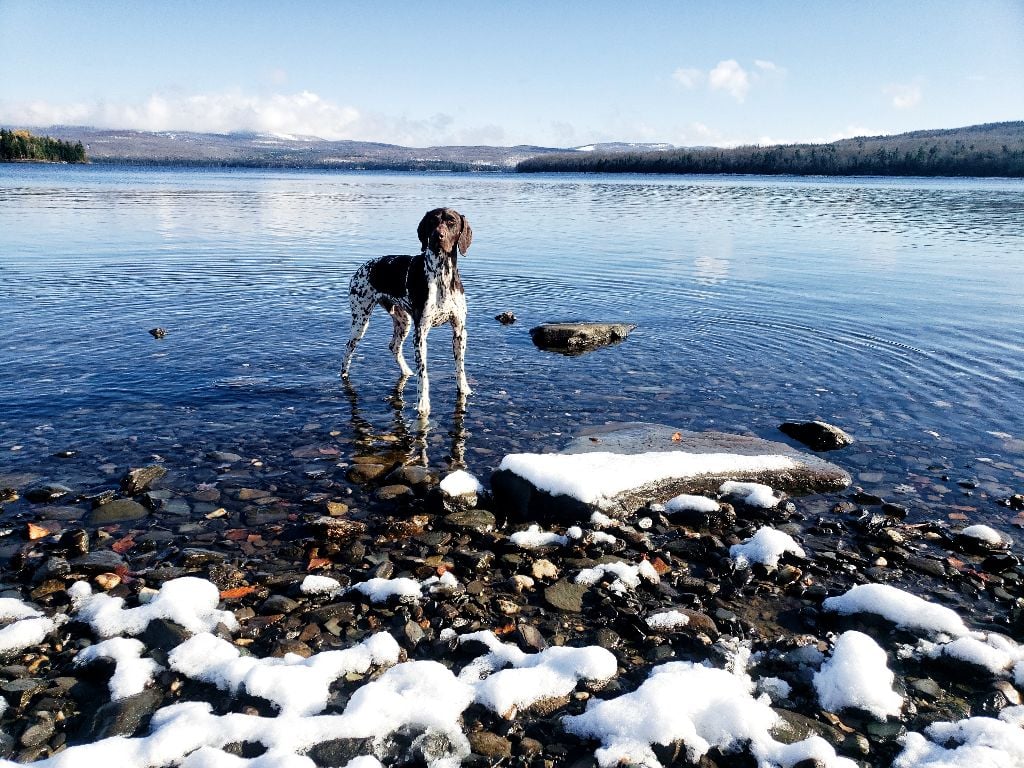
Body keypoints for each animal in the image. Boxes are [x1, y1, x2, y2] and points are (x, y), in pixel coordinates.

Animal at [344, 207, 471, 417]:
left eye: (451, 222)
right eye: (432, 221)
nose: (438, 236)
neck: (442, 275)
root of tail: (364, 266)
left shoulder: (459, 331)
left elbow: (460, 367)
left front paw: (465, 389)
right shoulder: (420, 334)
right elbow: (424, 374)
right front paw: (423, 405)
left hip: (403, 322)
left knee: (394, 346)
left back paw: (406, 371)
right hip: (360, 321)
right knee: (347, 350)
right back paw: (344, 375)